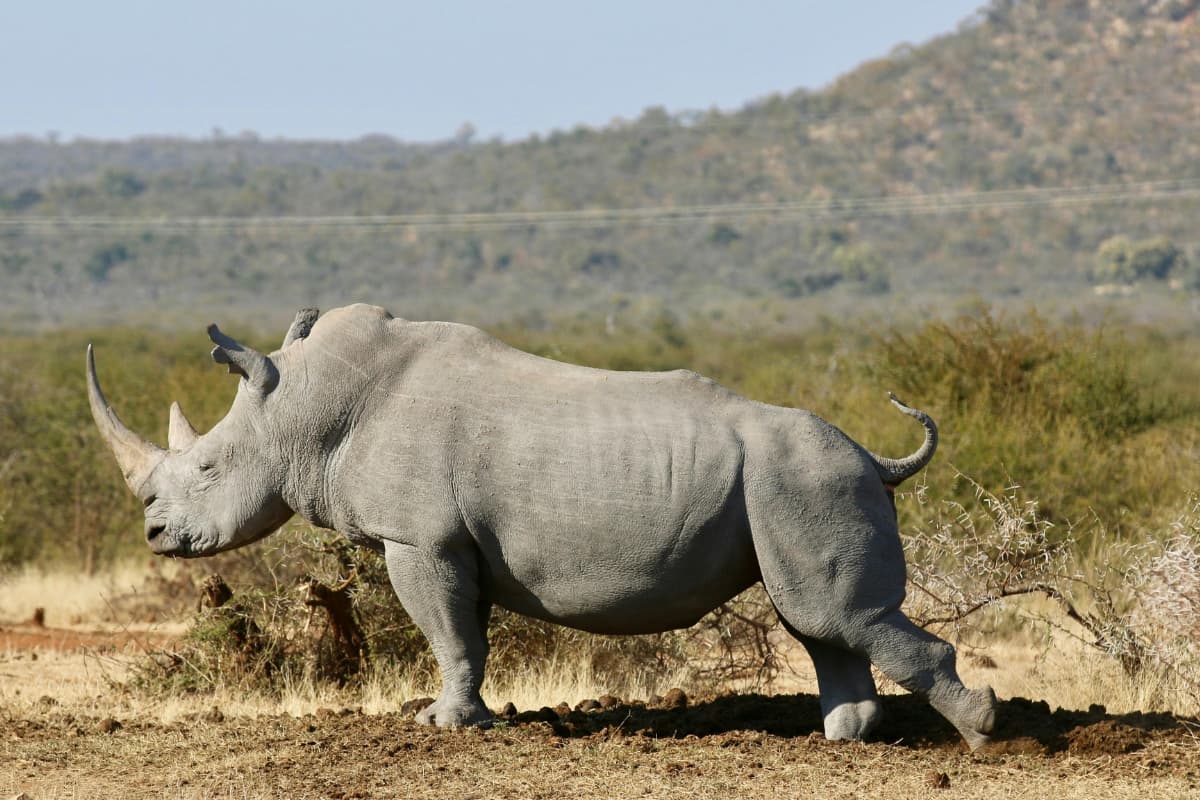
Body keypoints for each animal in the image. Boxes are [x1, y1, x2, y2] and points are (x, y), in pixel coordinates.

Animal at [87, 304, 996, 748]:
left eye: (208, 468)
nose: (156, 538)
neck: (308, 409)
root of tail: (875, 457)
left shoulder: (418, 538)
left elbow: (446, 630)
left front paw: (442, 728)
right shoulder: (456, 543)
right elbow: (468, 635)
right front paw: (468, 717)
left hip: (809, 479)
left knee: (839, 616)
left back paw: (979, 736)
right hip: (795, 485)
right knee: (819, 621)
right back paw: (842, 742)